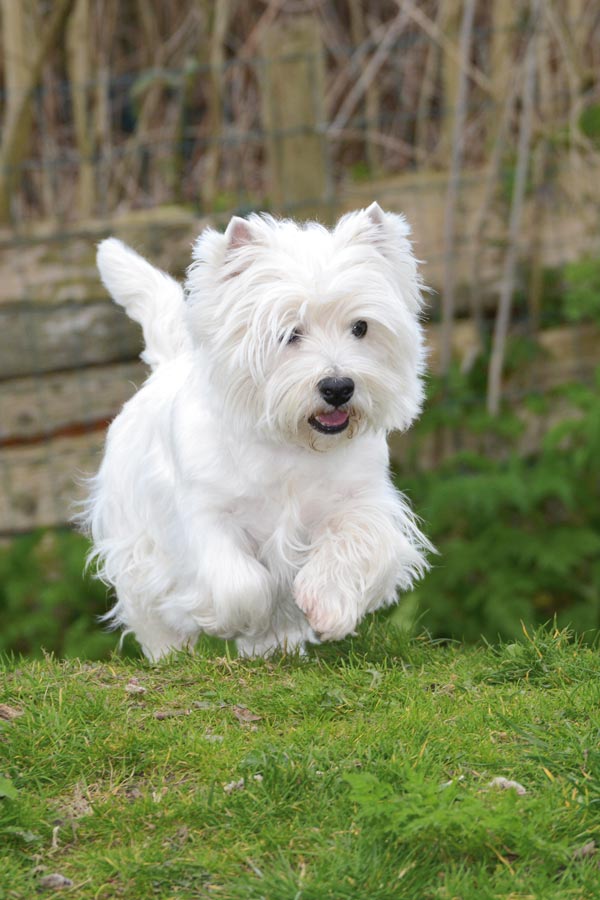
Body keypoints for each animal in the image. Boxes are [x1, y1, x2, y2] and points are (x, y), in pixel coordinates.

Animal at [82, 202, 434, 660]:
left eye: (361, 327)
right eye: (289, 333)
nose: (338, 387)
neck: (291, 445)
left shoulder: (360, 500)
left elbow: (358, 545)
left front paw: (325, 605)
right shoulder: (204, 516)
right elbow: (240, 583)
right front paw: (234, 619)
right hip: (133, 538)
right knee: (148, 609)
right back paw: (173, 651)